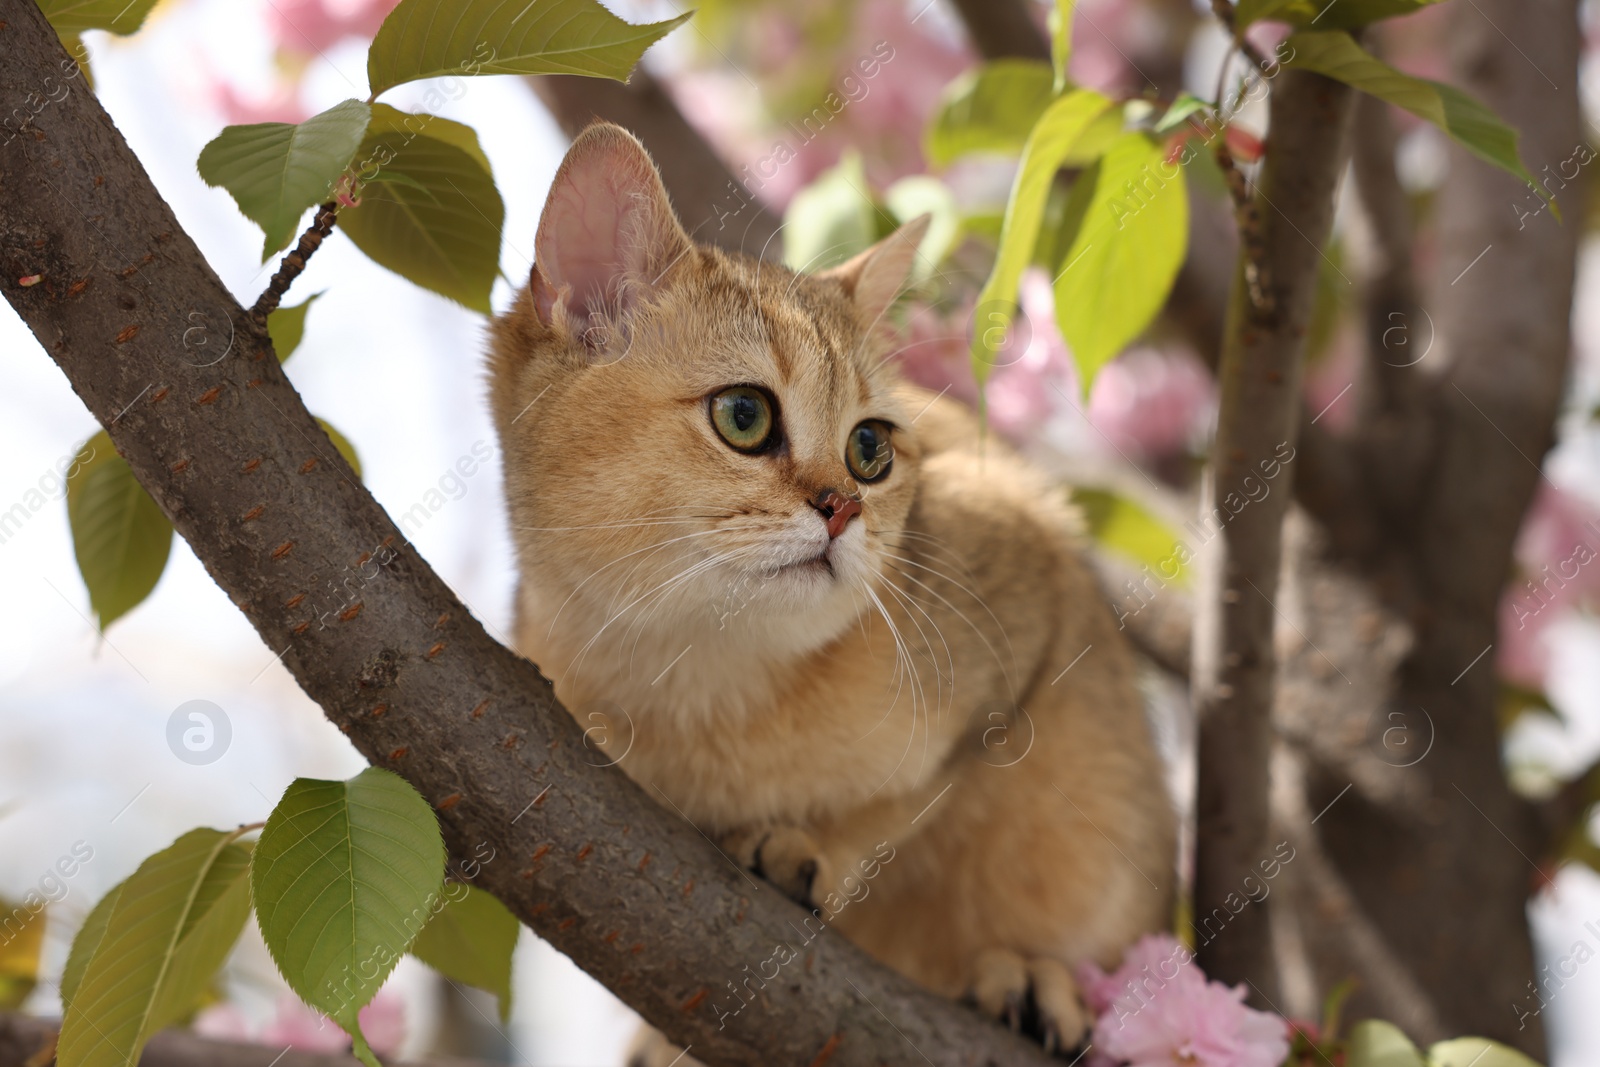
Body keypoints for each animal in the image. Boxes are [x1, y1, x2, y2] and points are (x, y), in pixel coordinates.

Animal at [486, 125, 1177, 1062]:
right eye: (744, 415)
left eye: (870, 449)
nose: (844, 507)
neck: (701, 681)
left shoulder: (1028, 590)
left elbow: (902, 804)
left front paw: (809, 843)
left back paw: (1032, 977)